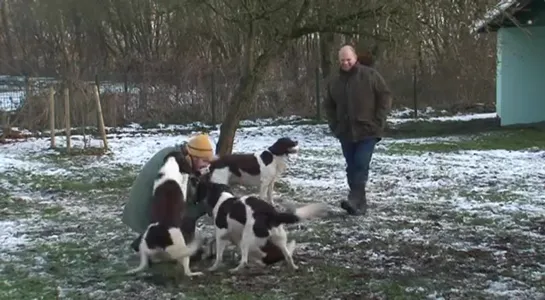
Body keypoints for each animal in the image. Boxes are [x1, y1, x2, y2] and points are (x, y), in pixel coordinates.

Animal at [193, 177, 326, 274]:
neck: (222, 198)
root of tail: (272, 213)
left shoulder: (221, 236)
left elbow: (218, 257)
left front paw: (213, 267)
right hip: (278, 239)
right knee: (287, 255)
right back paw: (293, 267)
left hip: (246, 239)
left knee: (245, 260)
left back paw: (236, 270)